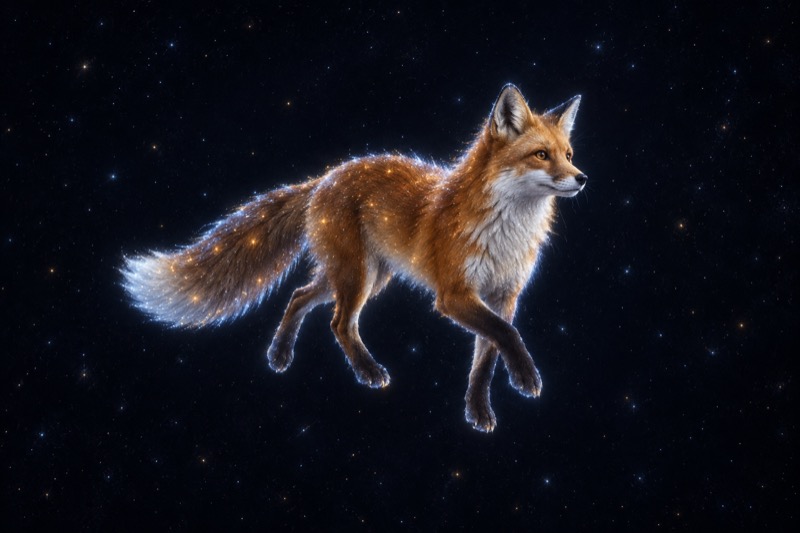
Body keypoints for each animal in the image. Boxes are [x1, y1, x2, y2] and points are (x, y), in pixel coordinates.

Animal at [122, 84, 587, 432]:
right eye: (541, 155)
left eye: (568, 154)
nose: (582, 178)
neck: (507, 233)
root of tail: (326, 176)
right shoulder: (454, 295)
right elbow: (507, 336)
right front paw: (526, 377)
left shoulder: (504, 295)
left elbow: (486, 358)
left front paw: (478, 410)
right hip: (357, 276)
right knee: (339, 323)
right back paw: (366, 371)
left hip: (363, 276)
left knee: (299, 295)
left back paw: (279, 355)